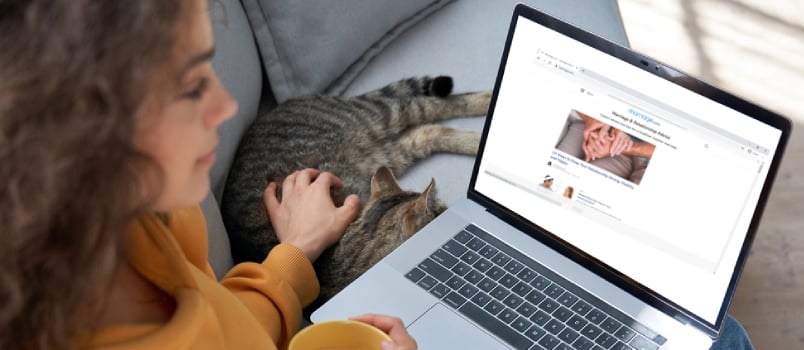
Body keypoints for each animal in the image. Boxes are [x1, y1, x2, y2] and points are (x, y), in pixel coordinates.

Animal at [223, 75, 494, 304]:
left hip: (381, 119)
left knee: (429, 106)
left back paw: (487, 104)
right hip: (389, 150)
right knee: (428, 128)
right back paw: (478, 137)